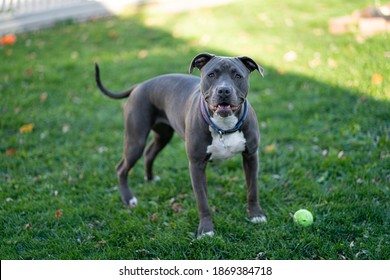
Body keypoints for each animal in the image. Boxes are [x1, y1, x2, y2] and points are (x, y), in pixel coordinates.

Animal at [94, 52, 266, 236]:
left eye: (237, 76)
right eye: (211, 75)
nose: (224, 90)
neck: (224, 126)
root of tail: (139, 86)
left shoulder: (251, 157)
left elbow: (252, 189)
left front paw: (256, 215)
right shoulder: (196, 165)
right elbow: (202, 200)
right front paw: (206, 230)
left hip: (163, 136)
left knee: (149, 153)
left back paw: (150, 178)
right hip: (135, 140)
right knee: (122, 168)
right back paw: (128, 198)